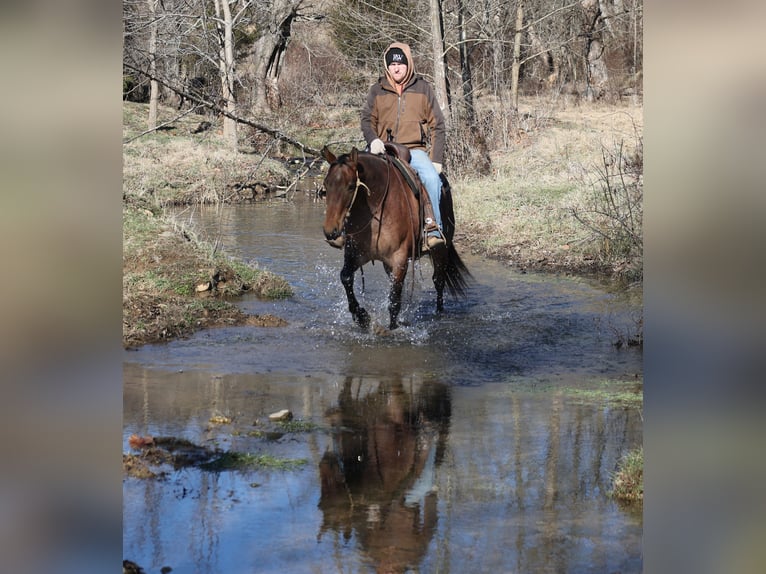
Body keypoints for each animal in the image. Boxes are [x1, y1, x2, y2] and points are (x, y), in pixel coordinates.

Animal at [321, 145, 471, 330]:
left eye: (350, 186)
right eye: (326, 185)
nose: (330, 231)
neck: (375, 209)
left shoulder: (399, 259)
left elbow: (394, 300)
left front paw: (392, 329)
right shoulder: (356, 254)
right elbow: (346, 278)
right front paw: (361, 317)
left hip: (441, 248)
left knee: (439, 280)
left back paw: (439, 313)